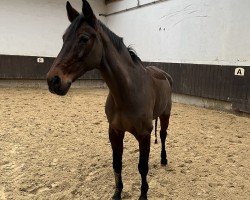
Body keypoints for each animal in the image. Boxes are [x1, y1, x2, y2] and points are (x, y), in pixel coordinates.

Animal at [46, 0, 172, 199]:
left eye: (84, 38)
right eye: (64, 38)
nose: (53, 80)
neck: (127, 93)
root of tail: (164, 74)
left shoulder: (144, 135)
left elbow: (142, 168)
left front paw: (143, 195)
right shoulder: (114, 132)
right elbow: (117, 164)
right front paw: (117, 193)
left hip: (166, 115)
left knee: (163, 135)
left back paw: (164, 159)